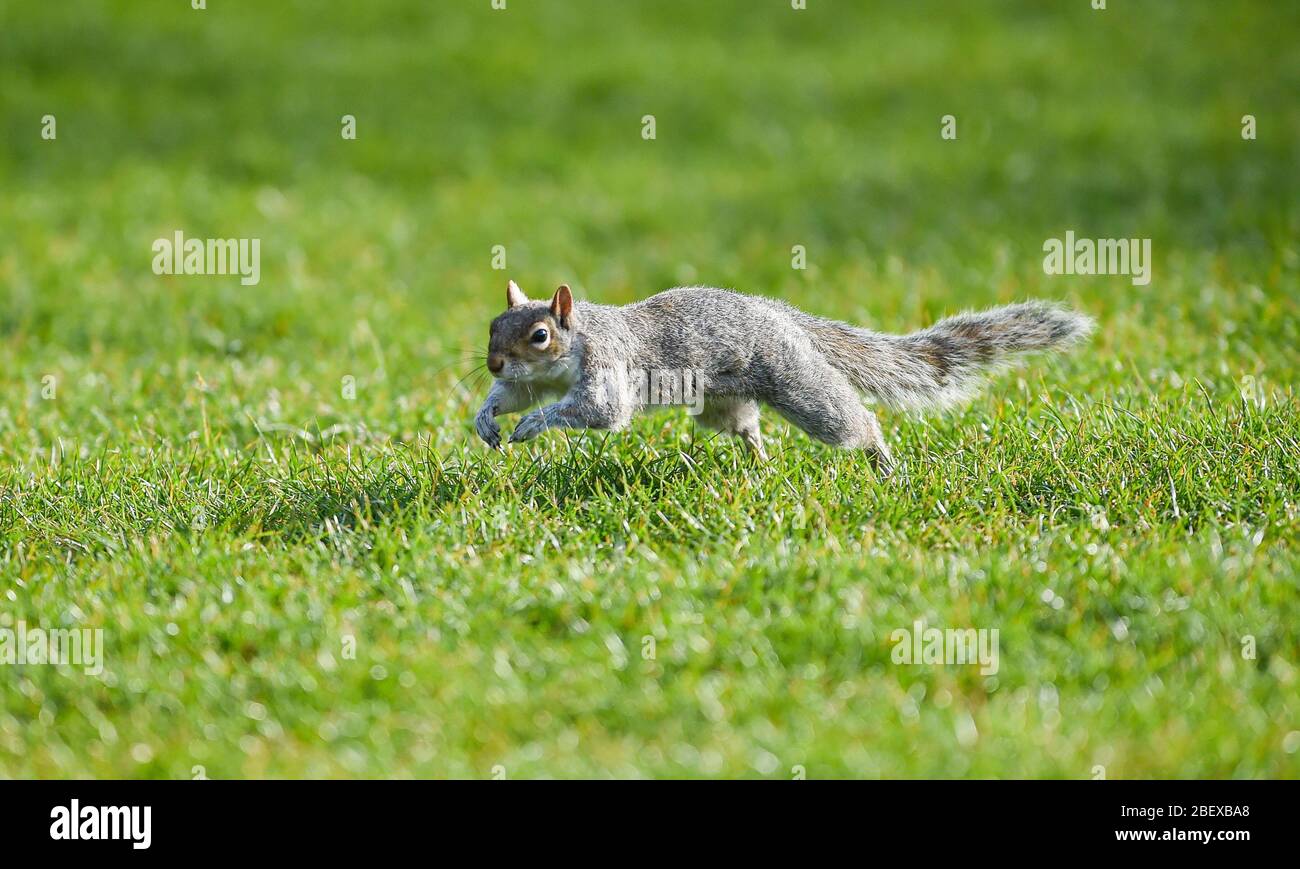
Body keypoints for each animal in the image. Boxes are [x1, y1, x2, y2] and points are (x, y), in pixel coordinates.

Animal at [473, 279, 1092, 476]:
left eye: (539, 335)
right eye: (494, 325)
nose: (494, 362)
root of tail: (778, 314)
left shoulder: (609, 365)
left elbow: (599, 411)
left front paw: (535, 424)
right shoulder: (530, 379)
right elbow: (513, 396)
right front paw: (488, 417)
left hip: (795, 383)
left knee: (852, 420)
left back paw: (882, 461)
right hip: (722, 402)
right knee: (747, 429)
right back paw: (761, 467)